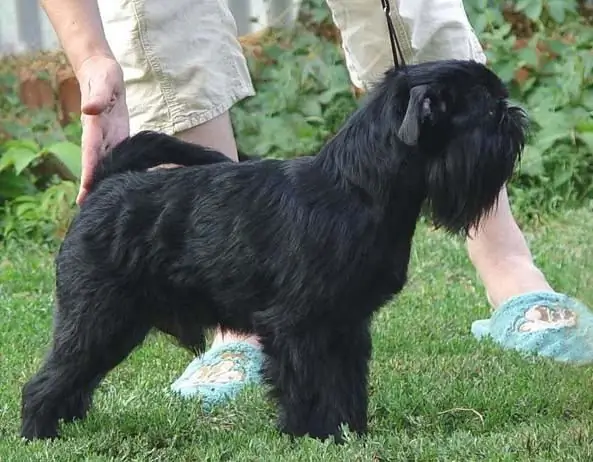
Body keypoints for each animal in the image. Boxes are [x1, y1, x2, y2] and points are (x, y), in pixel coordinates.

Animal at [20, 59, 524, 442]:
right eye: (488, 112)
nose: (515, 115)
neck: (357, 189)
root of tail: (106, 186)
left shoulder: (346, 326)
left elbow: (345, 384)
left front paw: (350, 434)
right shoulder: (299, 327)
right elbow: (309, 386)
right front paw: (312, 436)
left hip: (115, 326)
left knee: (76, 377)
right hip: (98, 317)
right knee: (48, 379)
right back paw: (39, 433)